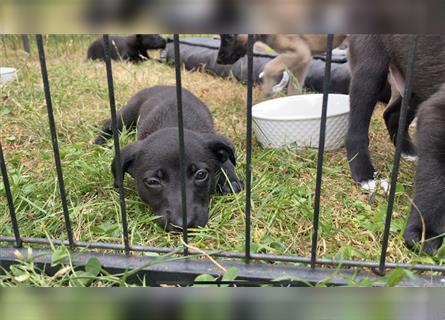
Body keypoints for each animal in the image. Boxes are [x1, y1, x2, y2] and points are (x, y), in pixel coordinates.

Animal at [94, 85, 243, 230]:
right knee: (109, 124)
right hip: (127, 115)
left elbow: (226, 160)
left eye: (201, 174)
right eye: (153, 182)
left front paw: (230, 179)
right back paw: (99, 142)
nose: (184, 225)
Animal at [215, 34, 346, 96]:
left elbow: (269, 67)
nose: (218, 61)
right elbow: (294, 90)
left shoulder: (300, 52)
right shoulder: (303, 61)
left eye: (229, 37)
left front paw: (268, 90)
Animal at [346, 35, 444, 254]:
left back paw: (408, 151)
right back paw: (365, 174)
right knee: (356, 127)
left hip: (414, 81)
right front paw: (425, 233)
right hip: (371, 66)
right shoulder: (437, 116)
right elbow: (436, 182)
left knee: (391, 114)